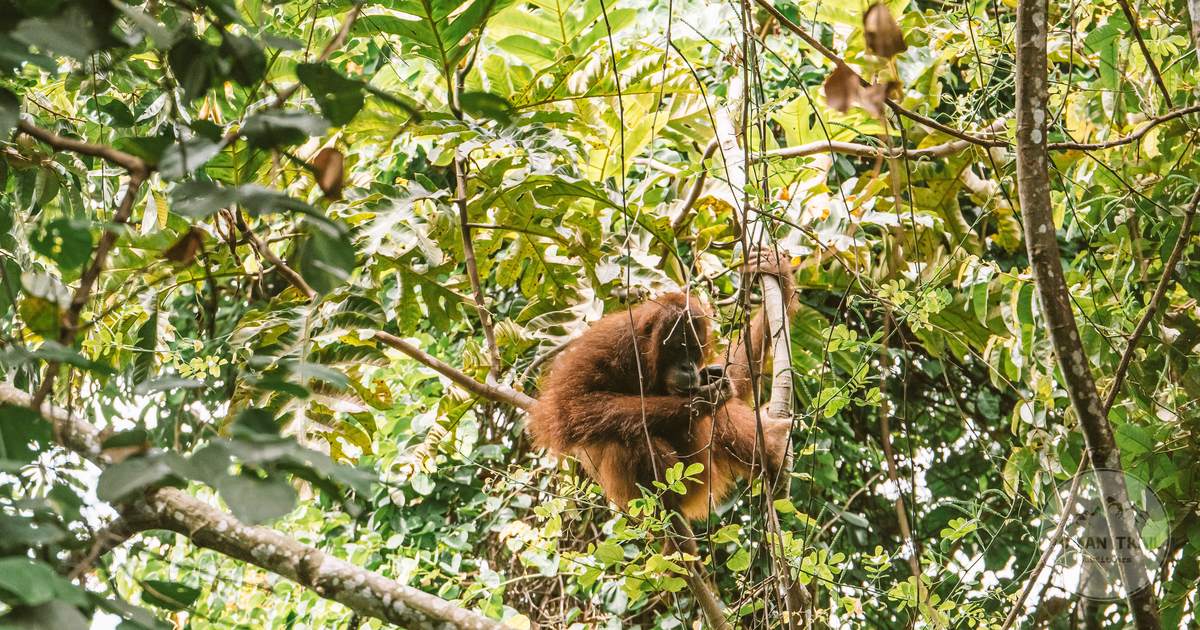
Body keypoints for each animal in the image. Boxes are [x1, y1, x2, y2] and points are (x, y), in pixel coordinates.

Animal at [528, 254, 797, 520]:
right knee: (628, 436)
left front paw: (778, 275)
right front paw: (704, 398)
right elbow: (572, 405)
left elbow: (728, 377)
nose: (688, 367)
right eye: (678, 347)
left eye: (694, 350)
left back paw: (772, 450)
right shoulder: (608, 344)